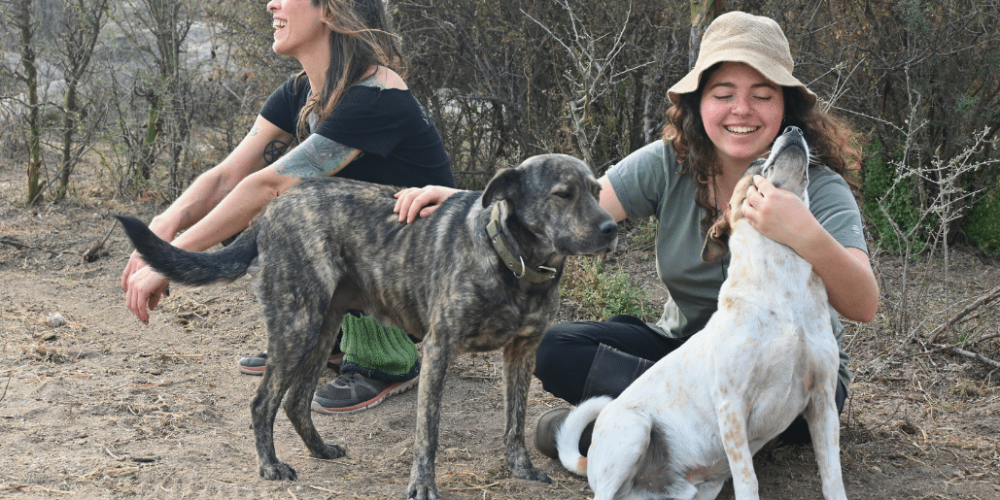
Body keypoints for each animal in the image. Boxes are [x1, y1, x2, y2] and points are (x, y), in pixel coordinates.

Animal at [115, 154, 616, 500]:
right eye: (563, 194)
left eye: (596, 190)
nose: (612, 227)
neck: (515, 264)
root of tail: (270, 212)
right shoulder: (439, 349)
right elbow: (428, 432)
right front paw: (422, 486)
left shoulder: (522, 354)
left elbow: (514, 422)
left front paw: (522, 470)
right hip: (298, 325)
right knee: (263, 403)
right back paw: (271, 467)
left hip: (321, 329)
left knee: (296, 401)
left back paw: (319, 450)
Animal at [552, 126, 848, 500]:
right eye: (756, 160)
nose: (794, 129)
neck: (784, 288)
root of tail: (590, 461)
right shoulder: (732, 405)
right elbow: (748, 480)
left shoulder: (822, 402)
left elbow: (832, 476)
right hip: (635, 429)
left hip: (700, 489)